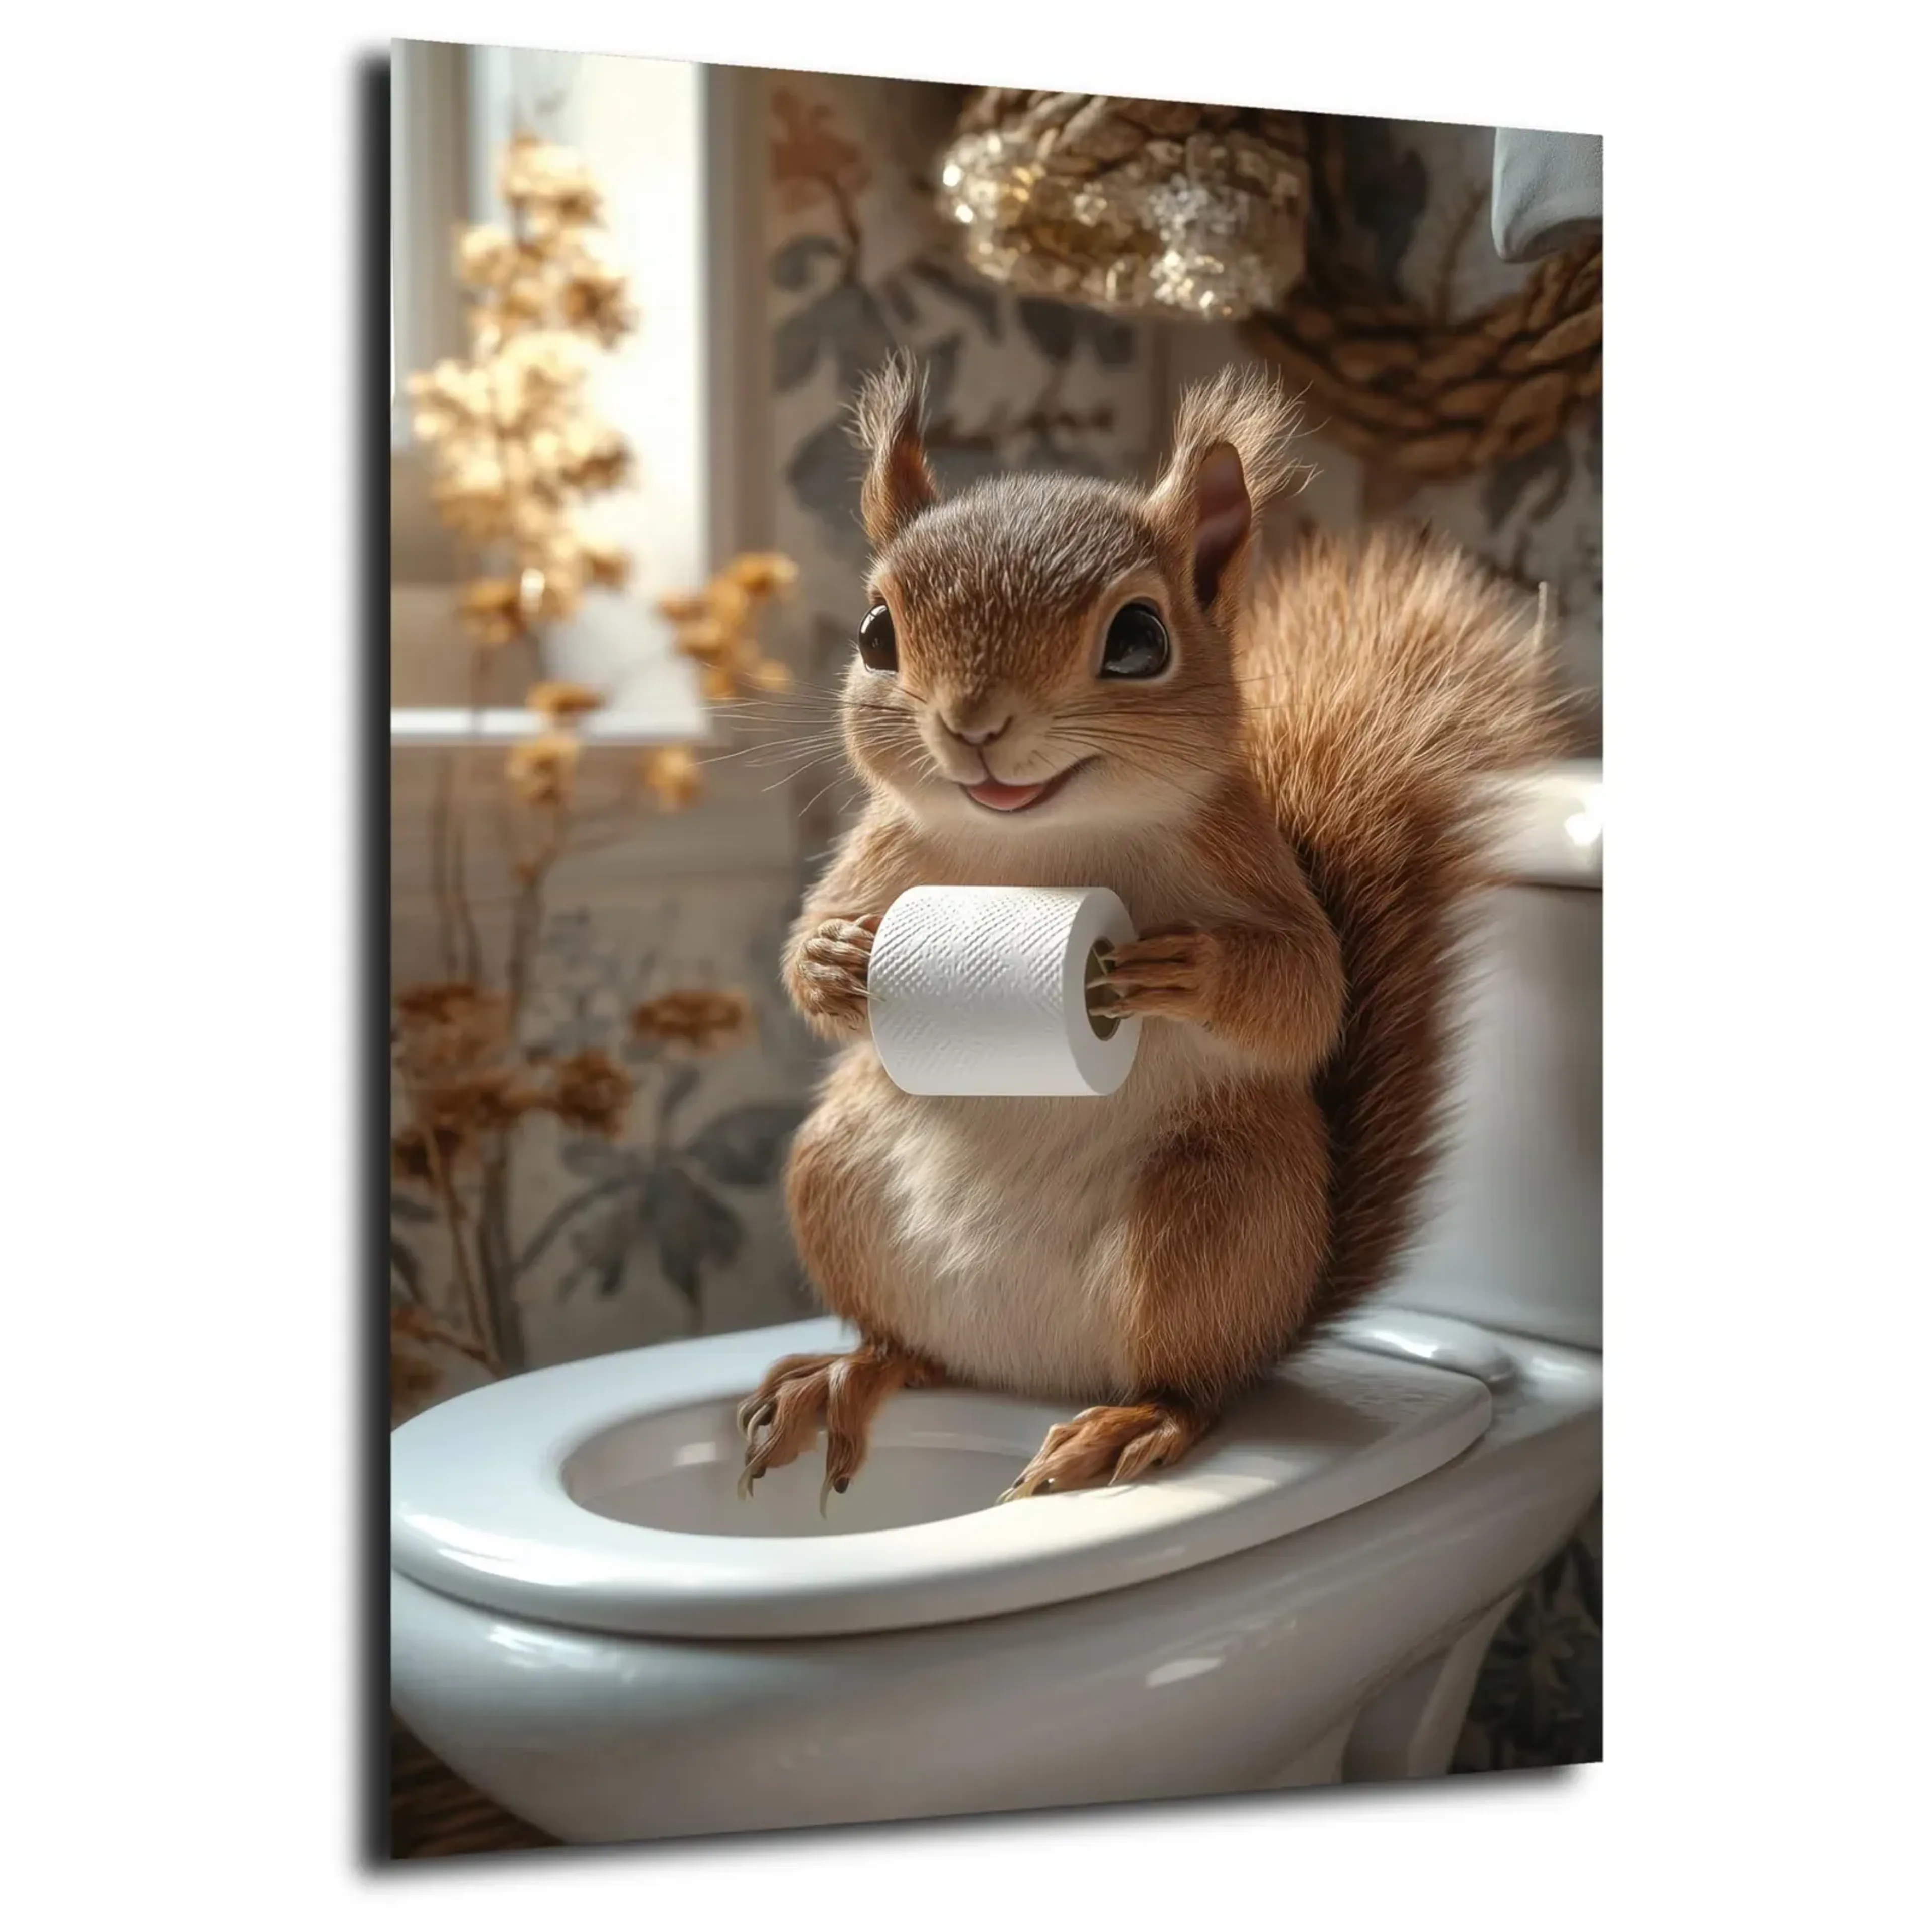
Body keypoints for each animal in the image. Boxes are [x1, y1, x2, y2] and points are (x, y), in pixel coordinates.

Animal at [737, 353, 1563, 1508]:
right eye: (875, 636)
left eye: (1139, 639)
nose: (974, 725)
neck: (1042, 843)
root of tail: (1033, 1370)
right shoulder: (881, 854)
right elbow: (797, 955)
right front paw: (833, 961)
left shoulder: (1244, 856)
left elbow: (1309, 991)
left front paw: (1189, 970)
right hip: (837, 1177)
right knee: (919, 1352)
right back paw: (851, 1372)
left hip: (1211, 1215)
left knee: (1196, 1381)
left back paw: (1135, 1421)